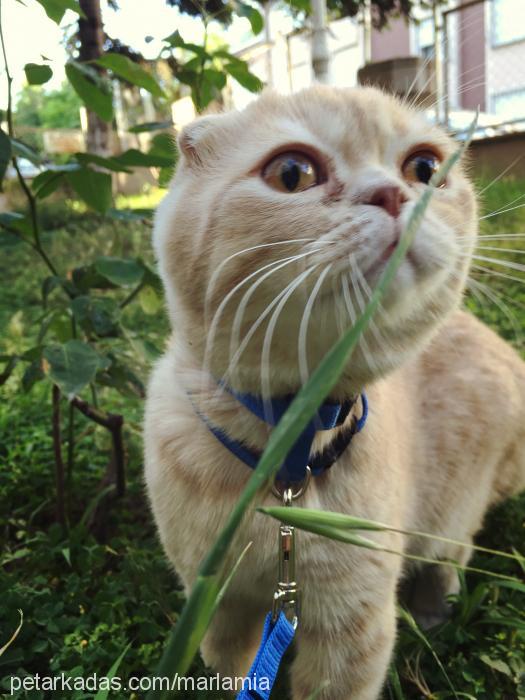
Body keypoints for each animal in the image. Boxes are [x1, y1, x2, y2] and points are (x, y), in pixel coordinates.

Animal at [143, 87, 524, 700]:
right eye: (292, 173)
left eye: (424, 169)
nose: (392, 194)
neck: (285, 456)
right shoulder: (218, 605)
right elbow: (231, 675)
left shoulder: (352, 624)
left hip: (452, 513)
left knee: (453, 554)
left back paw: (434, 609)